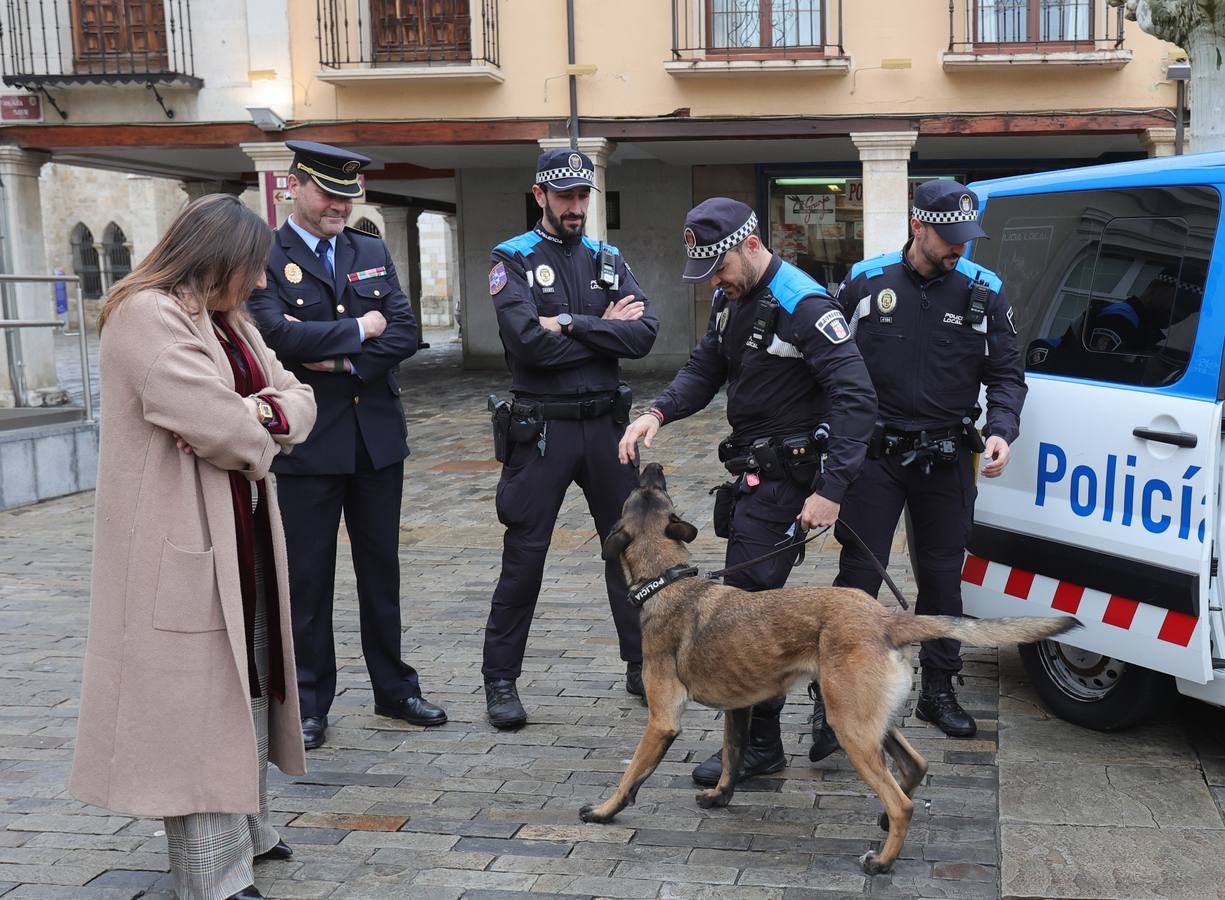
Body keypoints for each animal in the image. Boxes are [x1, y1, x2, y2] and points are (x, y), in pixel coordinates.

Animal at [578, 465, 1078, 871]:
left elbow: (631, 774)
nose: (650, 463)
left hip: (849, 725)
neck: (666, 581)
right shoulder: (739, 709)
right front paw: (721, 796)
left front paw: (603, 811)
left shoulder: (662, 721)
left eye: (645, 490)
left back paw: (881, 861)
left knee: (901, 802)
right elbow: (733, 757)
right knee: (914, 766)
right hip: (866, 719)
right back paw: (885, 823)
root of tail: (886, 619)